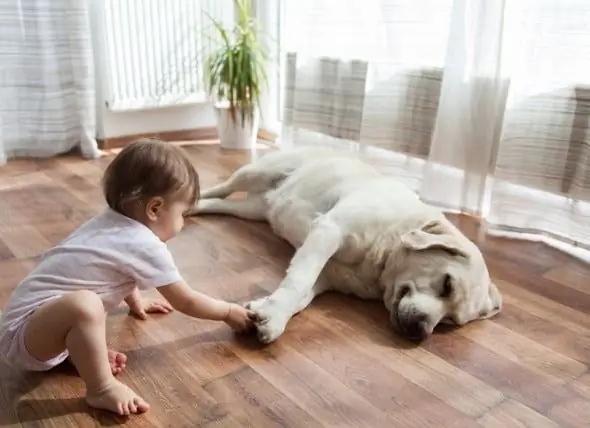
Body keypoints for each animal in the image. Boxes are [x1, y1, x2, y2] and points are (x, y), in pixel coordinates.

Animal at [188, 149, 500, 342]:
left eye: (450, 322)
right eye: (447, 285)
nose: (421, 332)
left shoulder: (325, 276)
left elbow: (300, 295)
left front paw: (265, 310)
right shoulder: (328, 232)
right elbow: (298, 281)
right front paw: (274, 317)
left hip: (253, 210)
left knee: (221, 203)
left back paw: (194, 208)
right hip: (256, 173)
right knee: (222, 187)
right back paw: (186, 202)